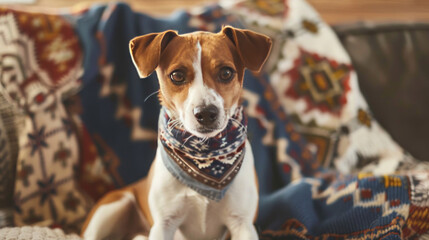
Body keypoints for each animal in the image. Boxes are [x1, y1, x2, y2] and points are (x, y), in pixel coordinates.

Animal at [80, 26, 270, 240]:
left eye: (226, 72)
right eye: (177, 75)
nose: (206, 112)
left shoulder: (242, 224)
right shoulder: (164, 224)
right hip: (113, 206)